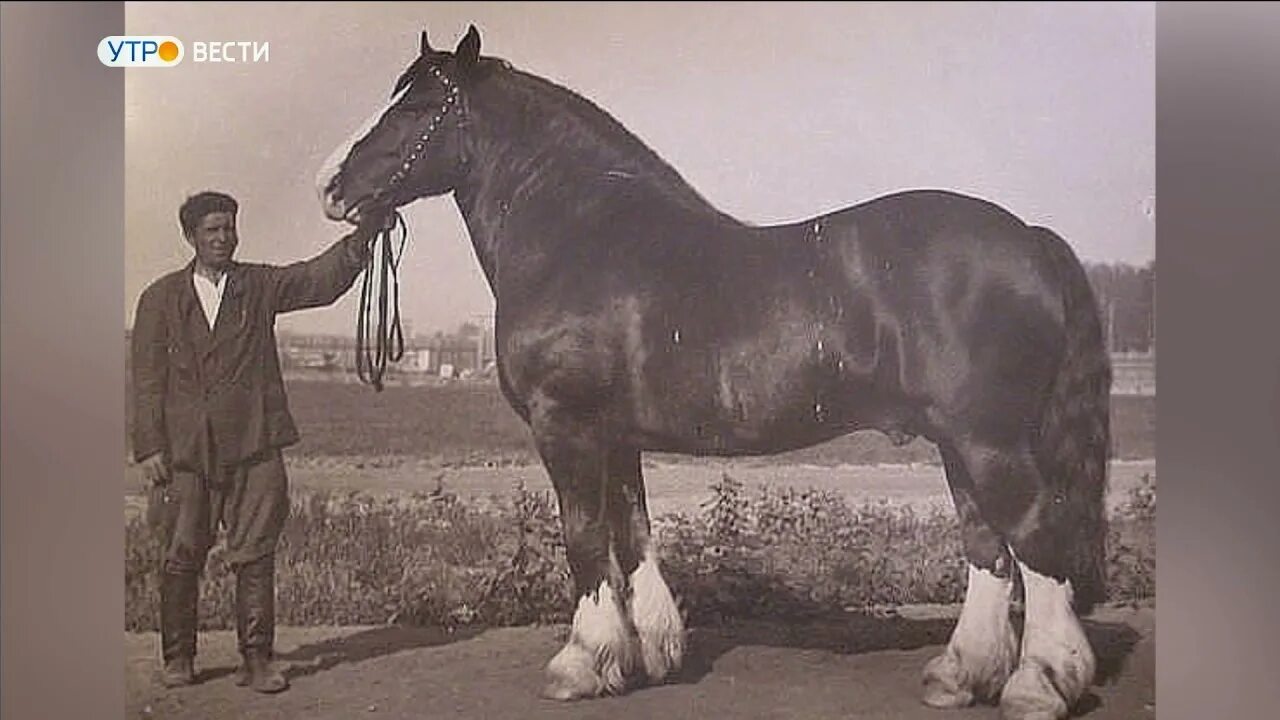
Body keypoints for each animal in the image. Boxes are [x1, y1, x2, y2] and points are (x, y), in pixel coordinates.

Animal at [317, 26, 1111, 717]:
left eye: (416, 105)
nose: (330, 185)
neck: (577, 234)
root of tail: (1029, 239)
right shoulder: (616, 437)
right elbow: (632, 535)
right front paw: (647, 654)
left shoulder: (564, 425)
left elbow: (584, 537)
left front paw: (580, 665)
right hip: (956, 442)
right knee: (988, 548)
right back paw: (960, 676)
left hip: (989, 441)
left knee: (1034, 539)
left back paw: (1039, 684)